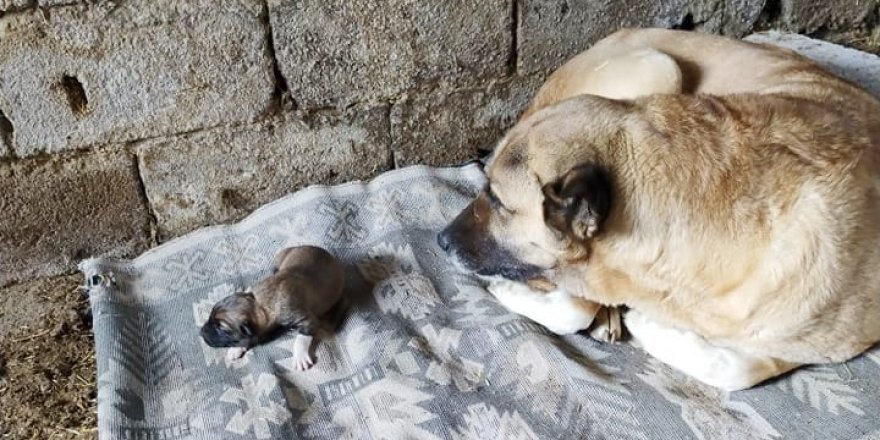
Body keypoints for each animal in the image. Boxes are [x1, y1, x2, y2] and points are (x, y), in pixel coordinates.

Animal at [201, 246, 346, 370]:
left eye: (221, 328)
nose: (201, 332)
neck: (259, 304)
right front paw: (236, 348)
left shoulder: (306, 319)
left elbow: (301, 338)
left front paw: (300, 357)